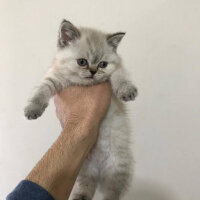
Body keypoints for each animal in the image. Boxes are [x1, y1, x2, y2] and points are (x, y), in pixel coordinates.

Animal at [24, 19, 138, 200]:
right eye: (82, 62)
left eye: (102, 64)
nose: (93, 71)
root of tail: (99, 170)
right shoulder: (53, 77)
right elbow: (40, 91)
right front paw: (32, 109)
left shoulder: (115, 70)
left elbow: (120, 77)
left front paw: (127, 91)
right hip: (85, 170)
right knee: (86, 187)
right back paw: (80, 197)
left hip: (117, 168)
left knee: (111, 193)